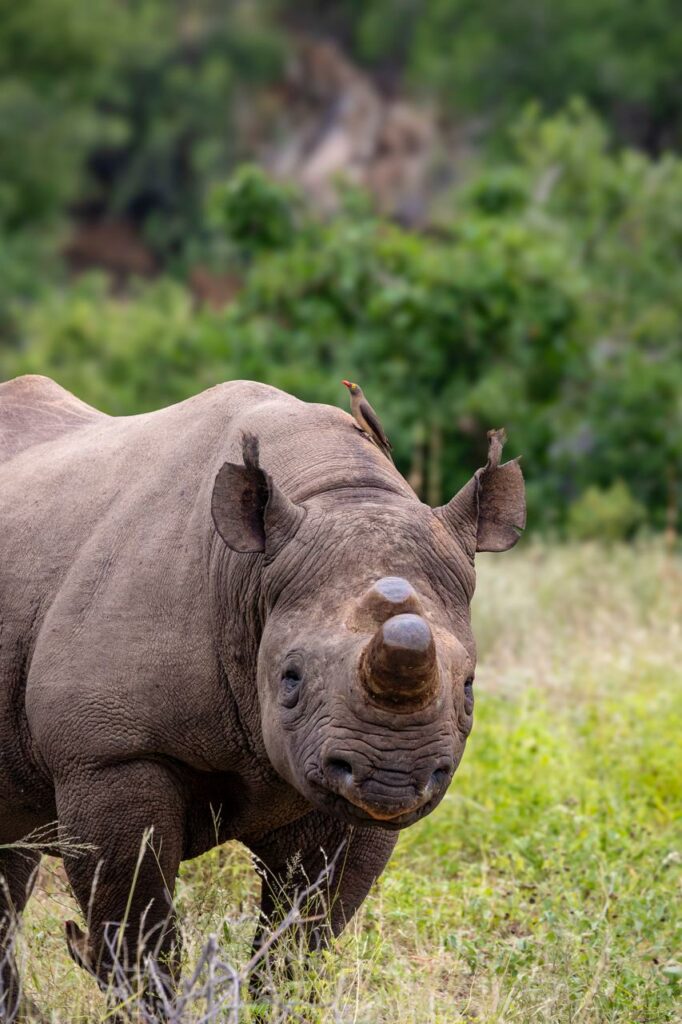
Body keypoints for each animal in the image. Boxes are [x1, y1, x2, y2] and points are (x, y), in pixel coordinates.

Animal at [0, 375, 525, 1016]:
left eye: (469, 686)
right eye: (290, 677)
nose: (392, 778)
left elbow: (300, 941)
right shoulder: (109, 754)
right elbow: (141, 937)